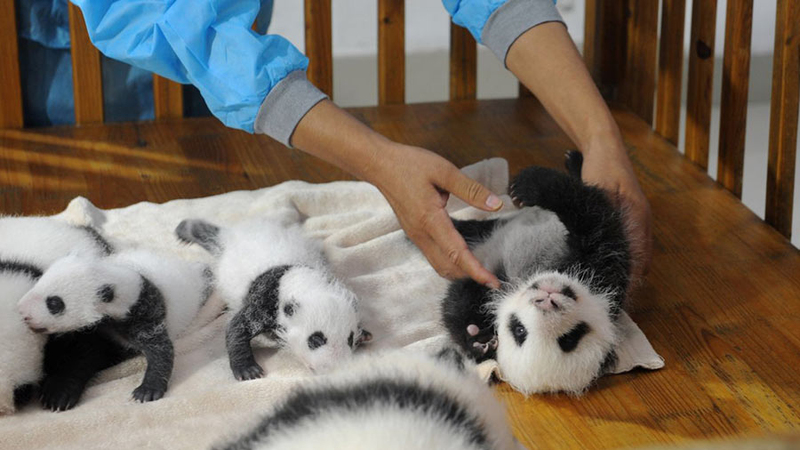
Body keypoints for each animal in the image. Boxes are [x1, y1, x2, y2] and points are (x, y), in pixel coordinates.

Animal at [17, 248, 213, 403]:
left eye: (54, 303)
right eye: (40, 281)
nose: (22, 312)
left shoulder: (145, 312)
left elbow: (160, 348)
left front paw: (147, 390)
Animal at [175, 218, 369, 381]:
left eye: (350, 339)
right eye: (316, 340)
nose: (336, 369)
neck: (299, 280)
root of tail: (232, 234)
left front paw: (365, 334)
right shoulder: (265, 301)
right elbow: (236, 327)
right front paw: (248, 370)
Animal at [442, 151, 631, 395]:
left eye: (569, 338)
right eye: (519, 329)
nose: (547, 299)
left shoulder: (606, 272)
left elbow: (592, 215)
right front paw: (478, 340)